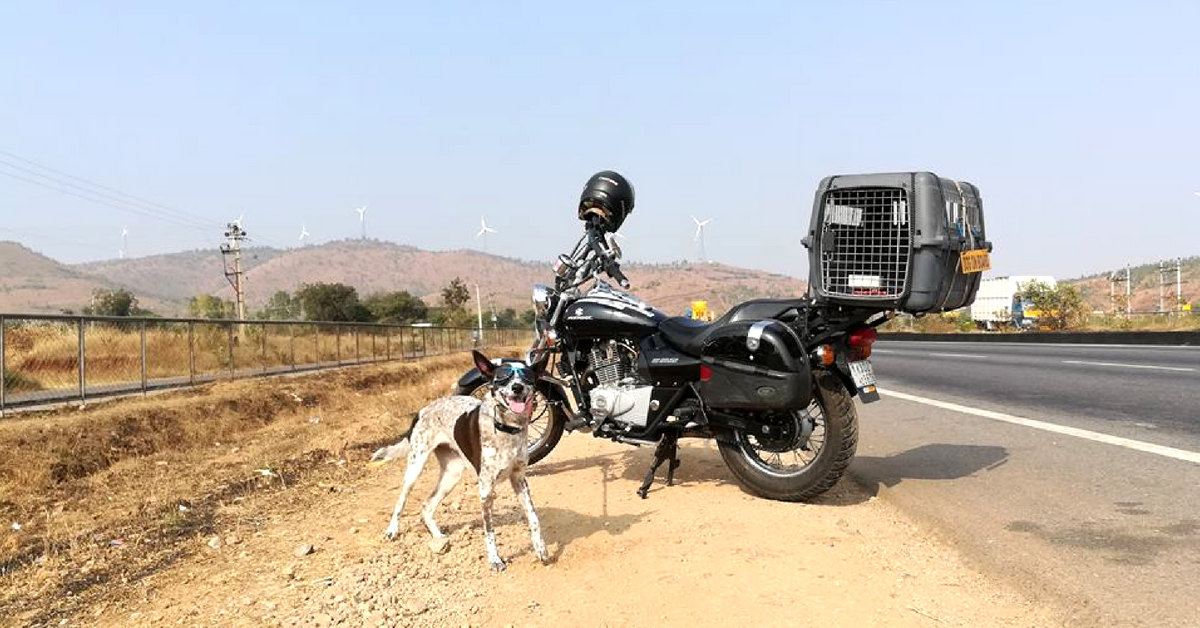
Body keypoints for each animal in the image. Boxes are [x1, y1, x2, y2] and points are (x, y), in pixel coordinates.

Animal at [369, 350, 552, 571]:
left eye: (527, 377)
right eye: (502, 377)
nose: (517, 387)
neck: (506, 428)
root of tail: (422, 410)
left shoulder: (519, 480)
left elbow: (534, 519)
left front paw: (541, 549)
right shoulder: (485, 490)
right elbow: (489, 530)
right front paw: (495, 560)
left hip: (452, 474)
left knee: (427, 505)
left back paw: (438, 537)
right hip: (415, 466)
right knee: (401, 501)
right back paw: (392, 530)